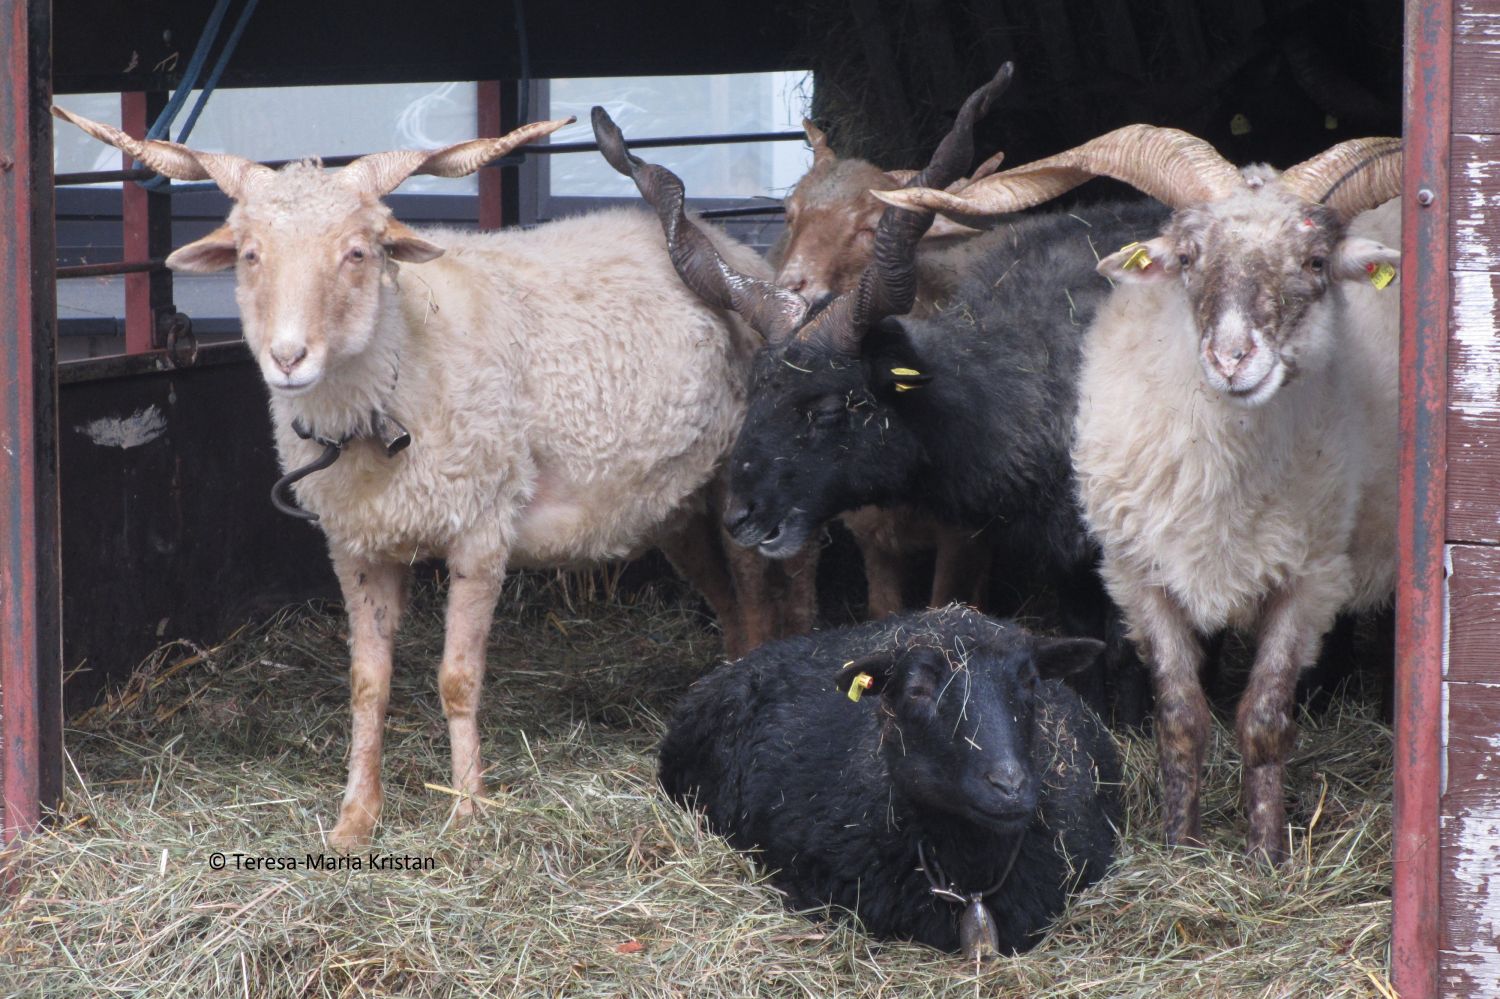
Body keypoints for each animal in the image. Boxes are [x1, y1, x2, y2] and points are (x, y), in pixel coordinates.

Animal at [54, 102, 786, 846]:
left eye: (359, 252)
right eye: (251, 254)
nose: (288, 357)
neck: (401, 370)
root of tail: (728, 245)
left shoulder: (483, 527)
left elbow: (458, 679)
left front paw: (466, 811)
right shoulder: (356, 546)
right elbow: (367, 683)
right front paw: (356, 816)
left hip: (736, 479)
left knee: (756, 599)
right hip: (671, 501)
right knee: (722, 600)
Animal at [882, 124, 1398, 858]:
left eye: (1316, 260)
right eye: (1187, 256)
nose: (1233, 359)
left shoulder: (1309, 581)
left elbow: (1264, 718)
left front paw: (1265, 854)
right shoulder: (1138, 574)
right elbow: (1180, 715)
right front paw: (1181, 845)